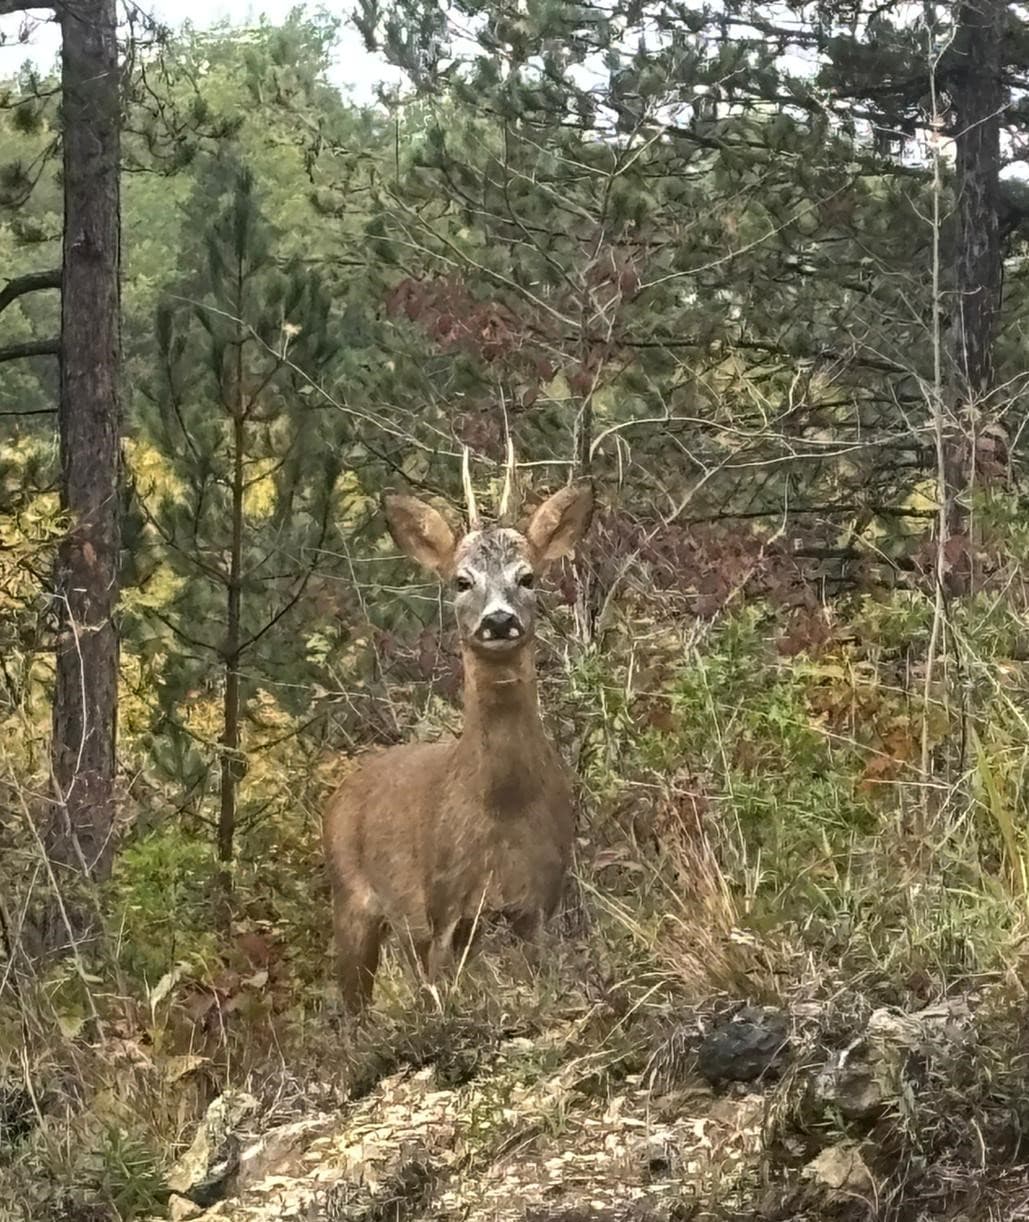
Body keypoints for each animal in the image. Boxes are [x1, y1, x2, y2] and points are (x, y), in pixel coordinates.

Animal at [322, 450, 594, 1010]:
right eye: (462, 581)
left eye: (527, 577)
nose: (499, 620)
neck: (501, 805)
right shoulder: (443, 899)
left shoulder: (541, 897)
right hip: (351, 898)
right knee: (353, 1005)